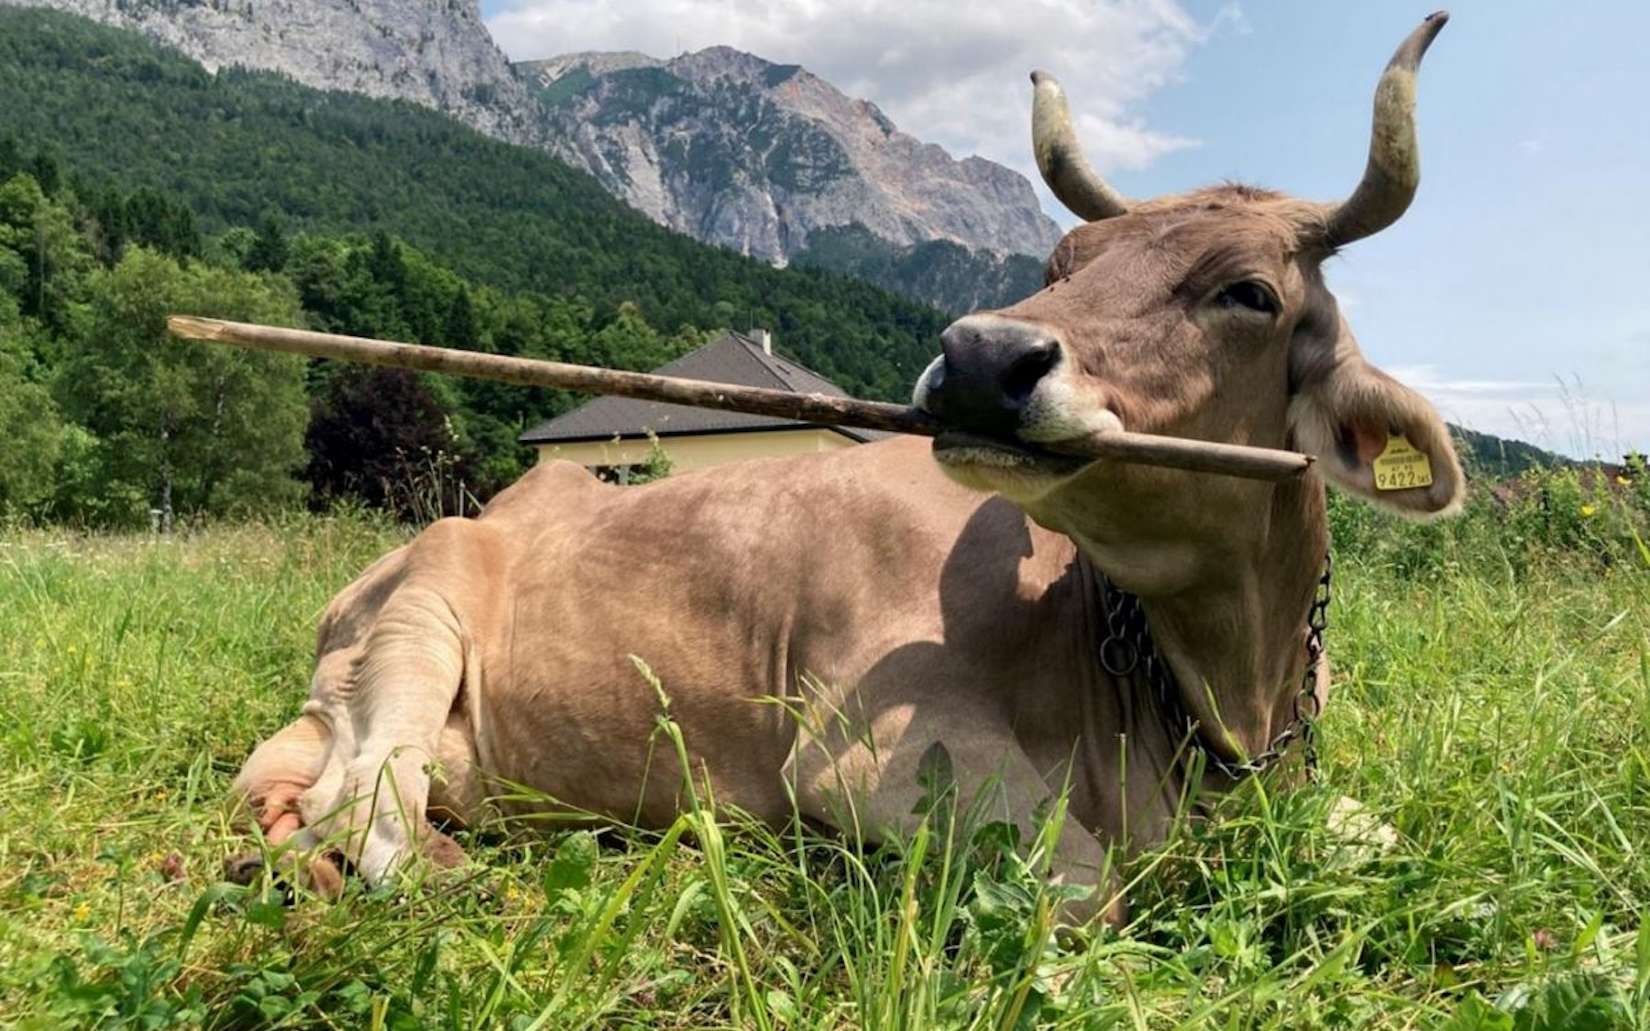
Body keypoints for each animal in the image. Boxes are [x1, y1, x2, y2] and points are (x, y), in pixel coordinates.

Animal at [228, 13, 1464, 923]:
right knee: (367, 808)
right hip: (421, 615)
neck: (1221, 700)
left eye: (1248, 291)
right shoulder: (868, 755)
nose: (981, 357)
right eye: (1061, 262)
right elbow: (1089, 887)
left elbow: (1392, 833)